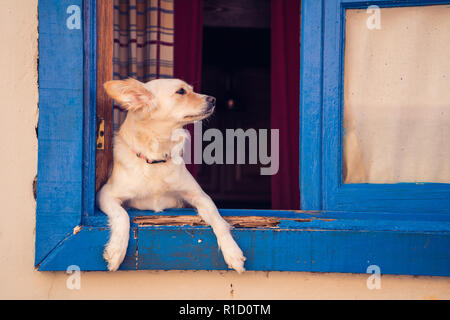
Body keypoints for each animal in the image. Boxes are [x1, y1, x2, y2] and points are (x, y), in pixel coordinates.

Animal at [96, 77, 246, 272]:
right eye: (181, 92)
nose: (213, 99)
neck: (157, 158)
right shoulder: (105, 194)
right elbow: (122, 216)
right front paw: (116, 250)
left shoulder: (199, 196)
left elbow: (219, 220)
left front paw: (232, 251)